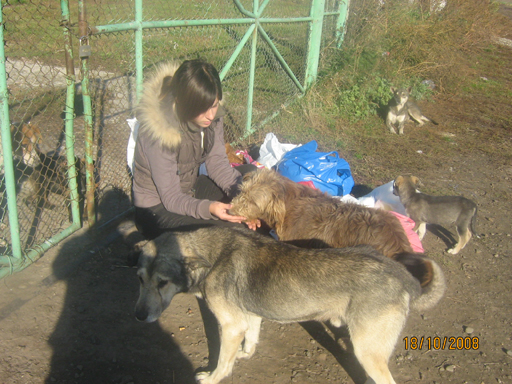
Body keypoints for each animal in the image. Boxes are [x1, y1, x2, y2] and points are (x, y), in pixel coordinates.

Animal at [135, 226, 444, 382]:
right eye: (139, 279)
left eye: (162, 283)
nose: (138, 316)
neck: (212, 255)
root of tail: (401, 274)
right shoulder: (249, 316)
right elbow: (251, 339)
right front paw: (245, 354)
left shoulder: (231, 326)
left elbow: (223, 361)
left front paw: (213, 377)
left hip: (367, 351)